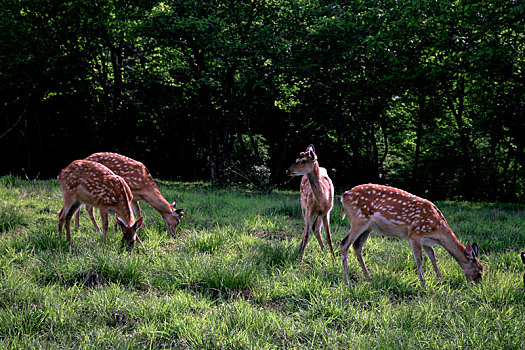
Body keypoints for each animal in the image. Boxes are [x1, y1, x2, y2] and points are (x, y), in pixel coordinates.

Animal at [340, 183, 484, 288]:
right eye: (479, 271)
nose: (476, 286)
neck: (437, 229)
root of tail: (344, 196)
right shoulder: (415, 234)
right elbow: (419, 259)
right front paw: (422, 283)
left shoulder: (426, 241)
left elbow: (433, 256)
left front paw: (439, 279)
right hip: (358, 219)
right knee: (344, 243)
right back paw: (347, 279)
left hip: (369, 227)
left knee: (357, 246)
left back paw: (368, 275)